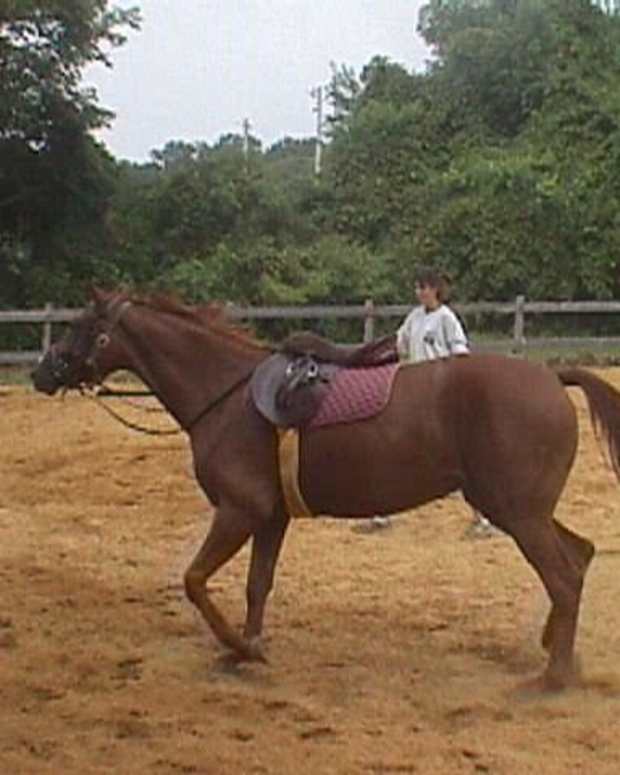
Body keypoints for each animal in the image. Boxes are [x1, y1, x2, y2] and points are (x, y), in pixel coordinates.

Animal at [31, 288, 620, 690]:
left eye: (81, 326)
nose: (41, 372)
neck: (227, 395)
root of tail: (552, 378)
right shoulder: (270, 518)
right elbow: (257, 585)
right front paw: (247, 648)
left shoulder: (239, 511)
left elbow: (195, 580)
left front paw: (238, 646)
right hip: (520, 509)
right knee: (580, 556)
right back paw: (554, 650)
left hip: (516, 513)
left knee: (564, 577)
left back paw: (552, 678)